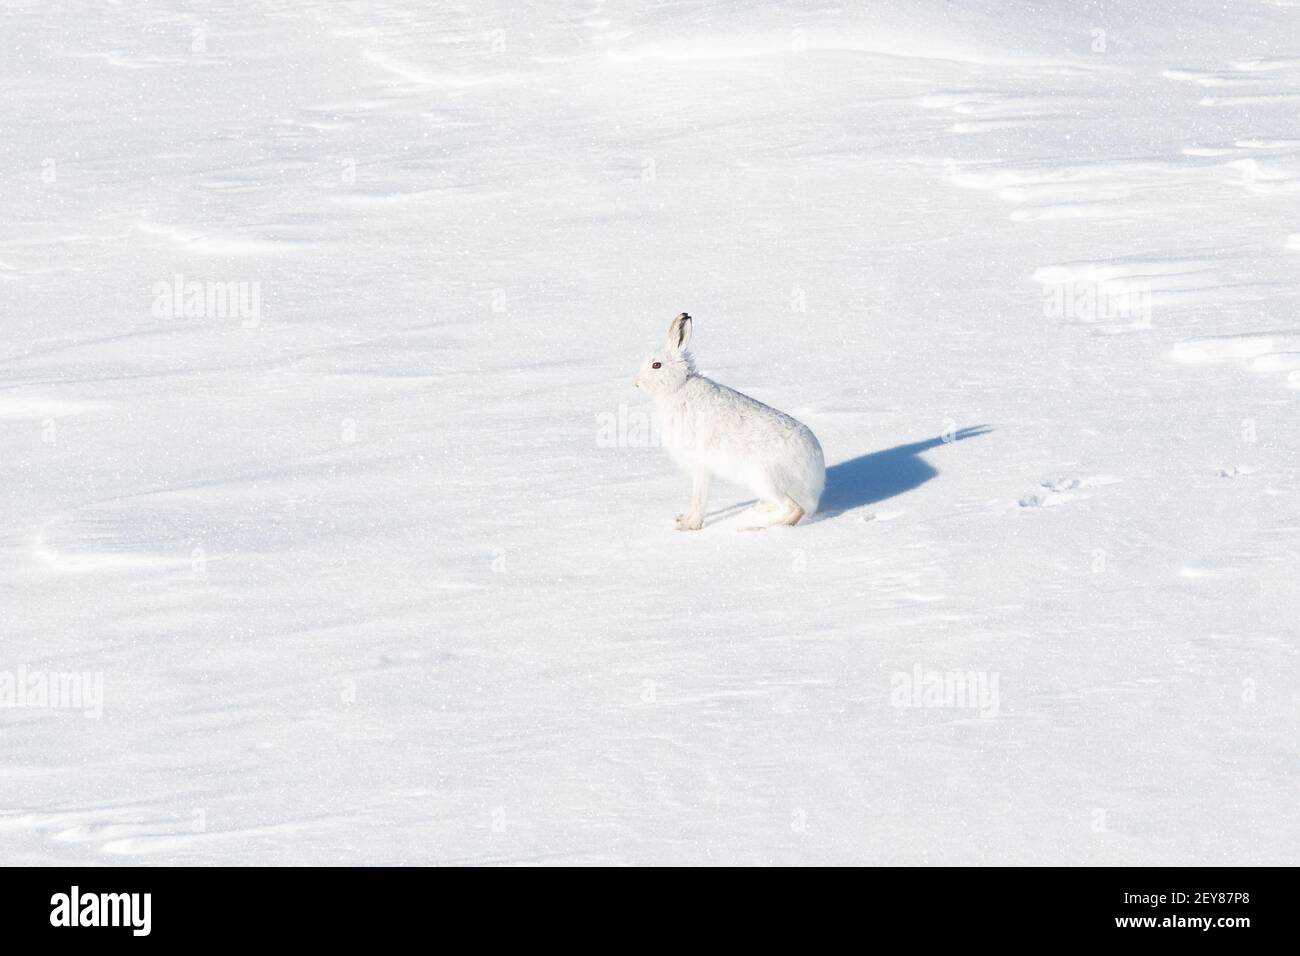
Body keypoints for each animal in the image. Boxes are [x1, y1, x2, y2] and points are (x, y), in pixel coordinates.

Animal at [634, 313, 825, 531]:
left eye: (656, 365)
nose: (637, 383)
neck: (679, 386)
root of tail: (816, 474)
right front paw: (682, 519)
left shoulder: (701, 466)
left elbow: (698, 498)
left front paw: (689, 526)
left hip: (765, 478)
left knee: (794, 509)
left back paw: (754, 529)